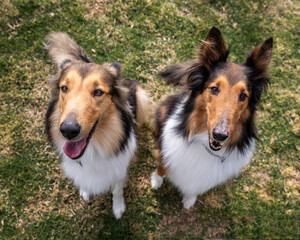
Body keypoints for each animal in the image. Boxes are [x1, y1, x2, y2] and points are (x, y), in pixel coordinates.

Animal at [44, 32, 151, 218]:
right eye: (64, 88)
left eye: (98, 92)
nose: (68, 130)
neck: (93, 149)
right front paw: (85, 190)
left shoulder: (118, 169)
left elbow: (117, 190)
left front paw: (118, 208)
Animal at [151, 27, 274, 209]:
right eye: (214, 89)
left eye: (243, 96)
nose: (220, 135)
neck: (206, 147)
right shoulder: (165, 151)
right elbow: (162, 165)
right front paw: (156, 180)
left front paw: (189, 199)